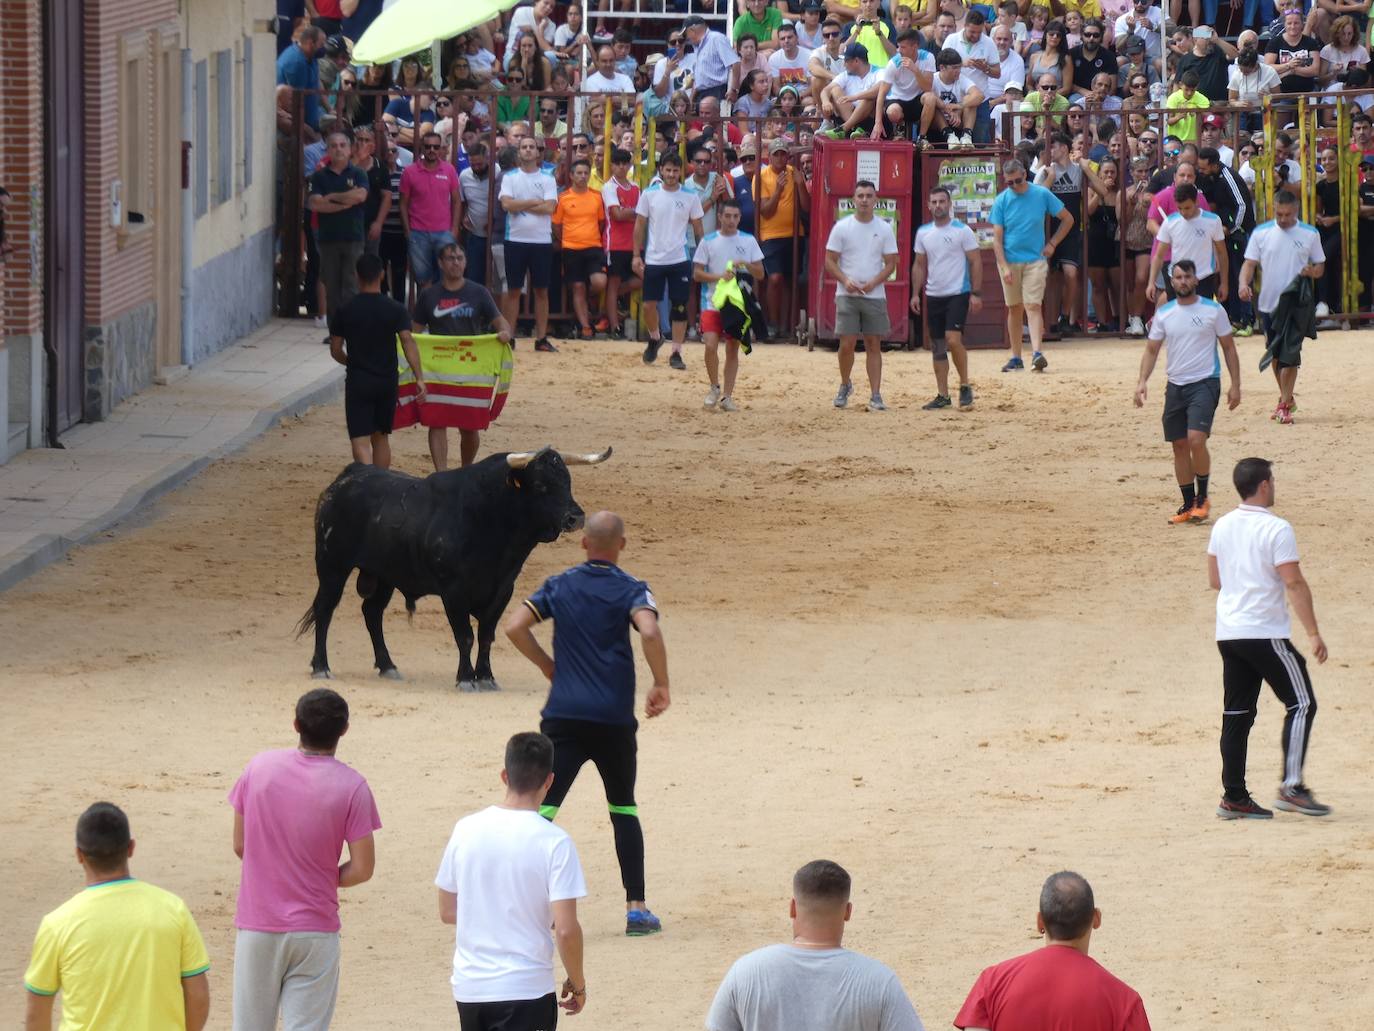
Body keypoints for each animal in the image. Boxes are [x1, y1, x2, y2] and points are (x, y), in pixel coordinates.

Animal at [296, 448, 612, 690]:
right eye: (541, 485)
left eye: (567, 482)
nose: (575, 518)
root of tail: (347, 476)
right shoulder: (454, 592)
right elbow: (465, 636)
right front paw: (465, 679)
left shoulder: (502, 590)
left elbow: (486, 635)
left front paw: (486, 677)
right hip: (332, 566)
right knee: (325, 609)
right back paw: (321, 666)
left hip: (384, 575)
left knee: (372, 613)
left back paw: (388, 666)